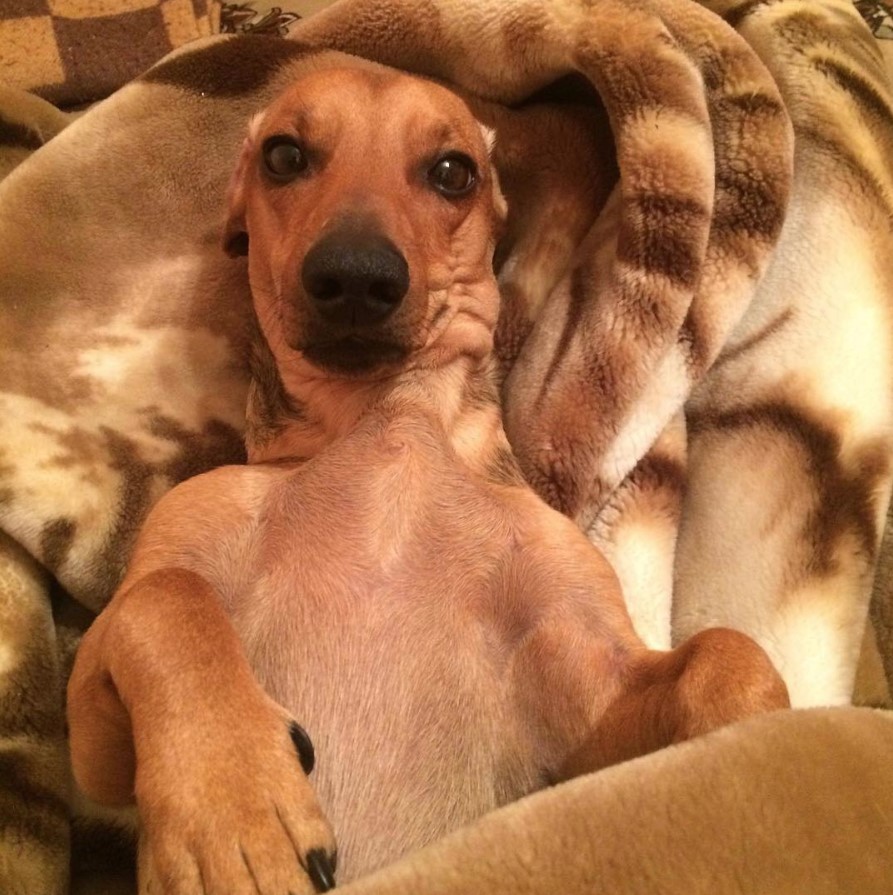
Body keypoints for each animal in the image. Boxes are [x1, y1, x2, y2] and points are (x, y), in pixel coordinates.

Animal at [1, 1, 892, 895]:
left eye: (452, 172)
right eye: (284, 155)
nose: (355, 276)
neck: (385, 433)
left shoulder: (590, 693)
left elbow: (728, 653)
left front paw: (750, 749)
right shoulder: (96, 739)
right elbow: (163, 599)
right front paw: (233, 807)